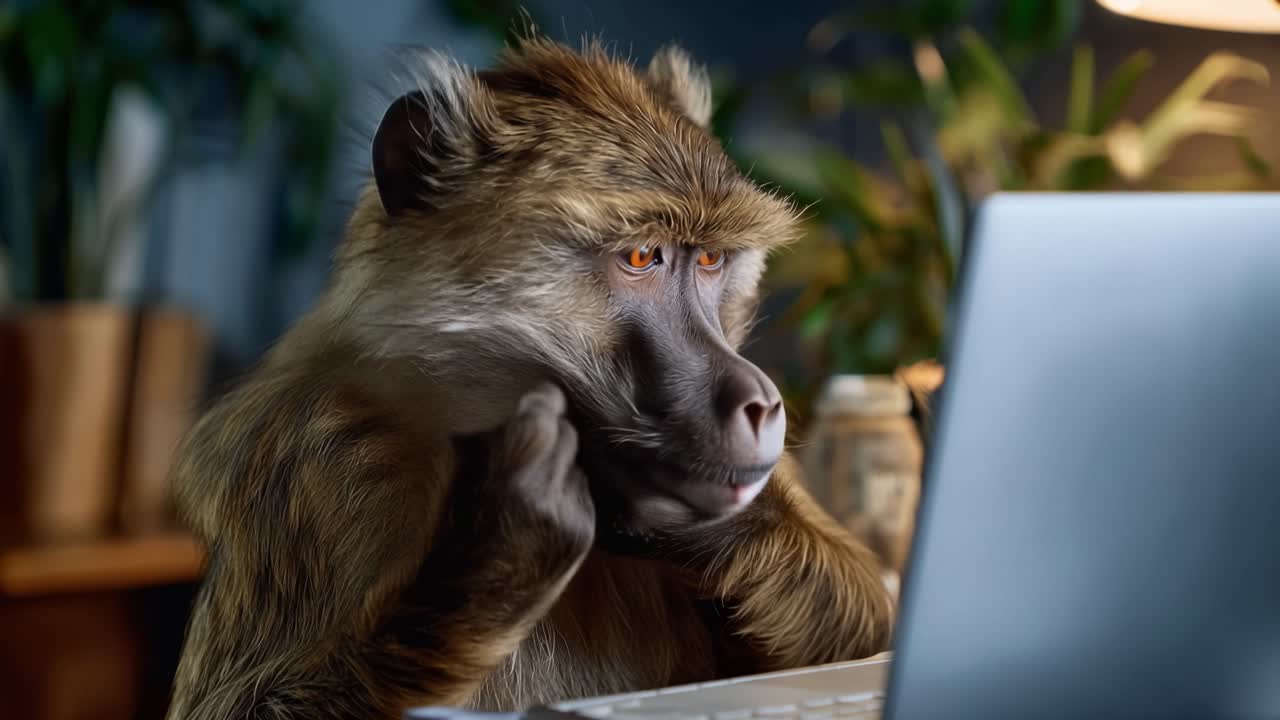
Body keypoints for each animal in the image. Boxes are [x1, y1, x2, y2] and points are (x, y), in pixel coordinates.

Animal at [165, 35, 897, 720]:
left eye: (711, 260)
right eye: (642, 257)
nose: (761, 402)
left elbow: (873, 630)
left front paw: (707, 525)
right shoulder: (313, 452)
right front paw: (504, 547)